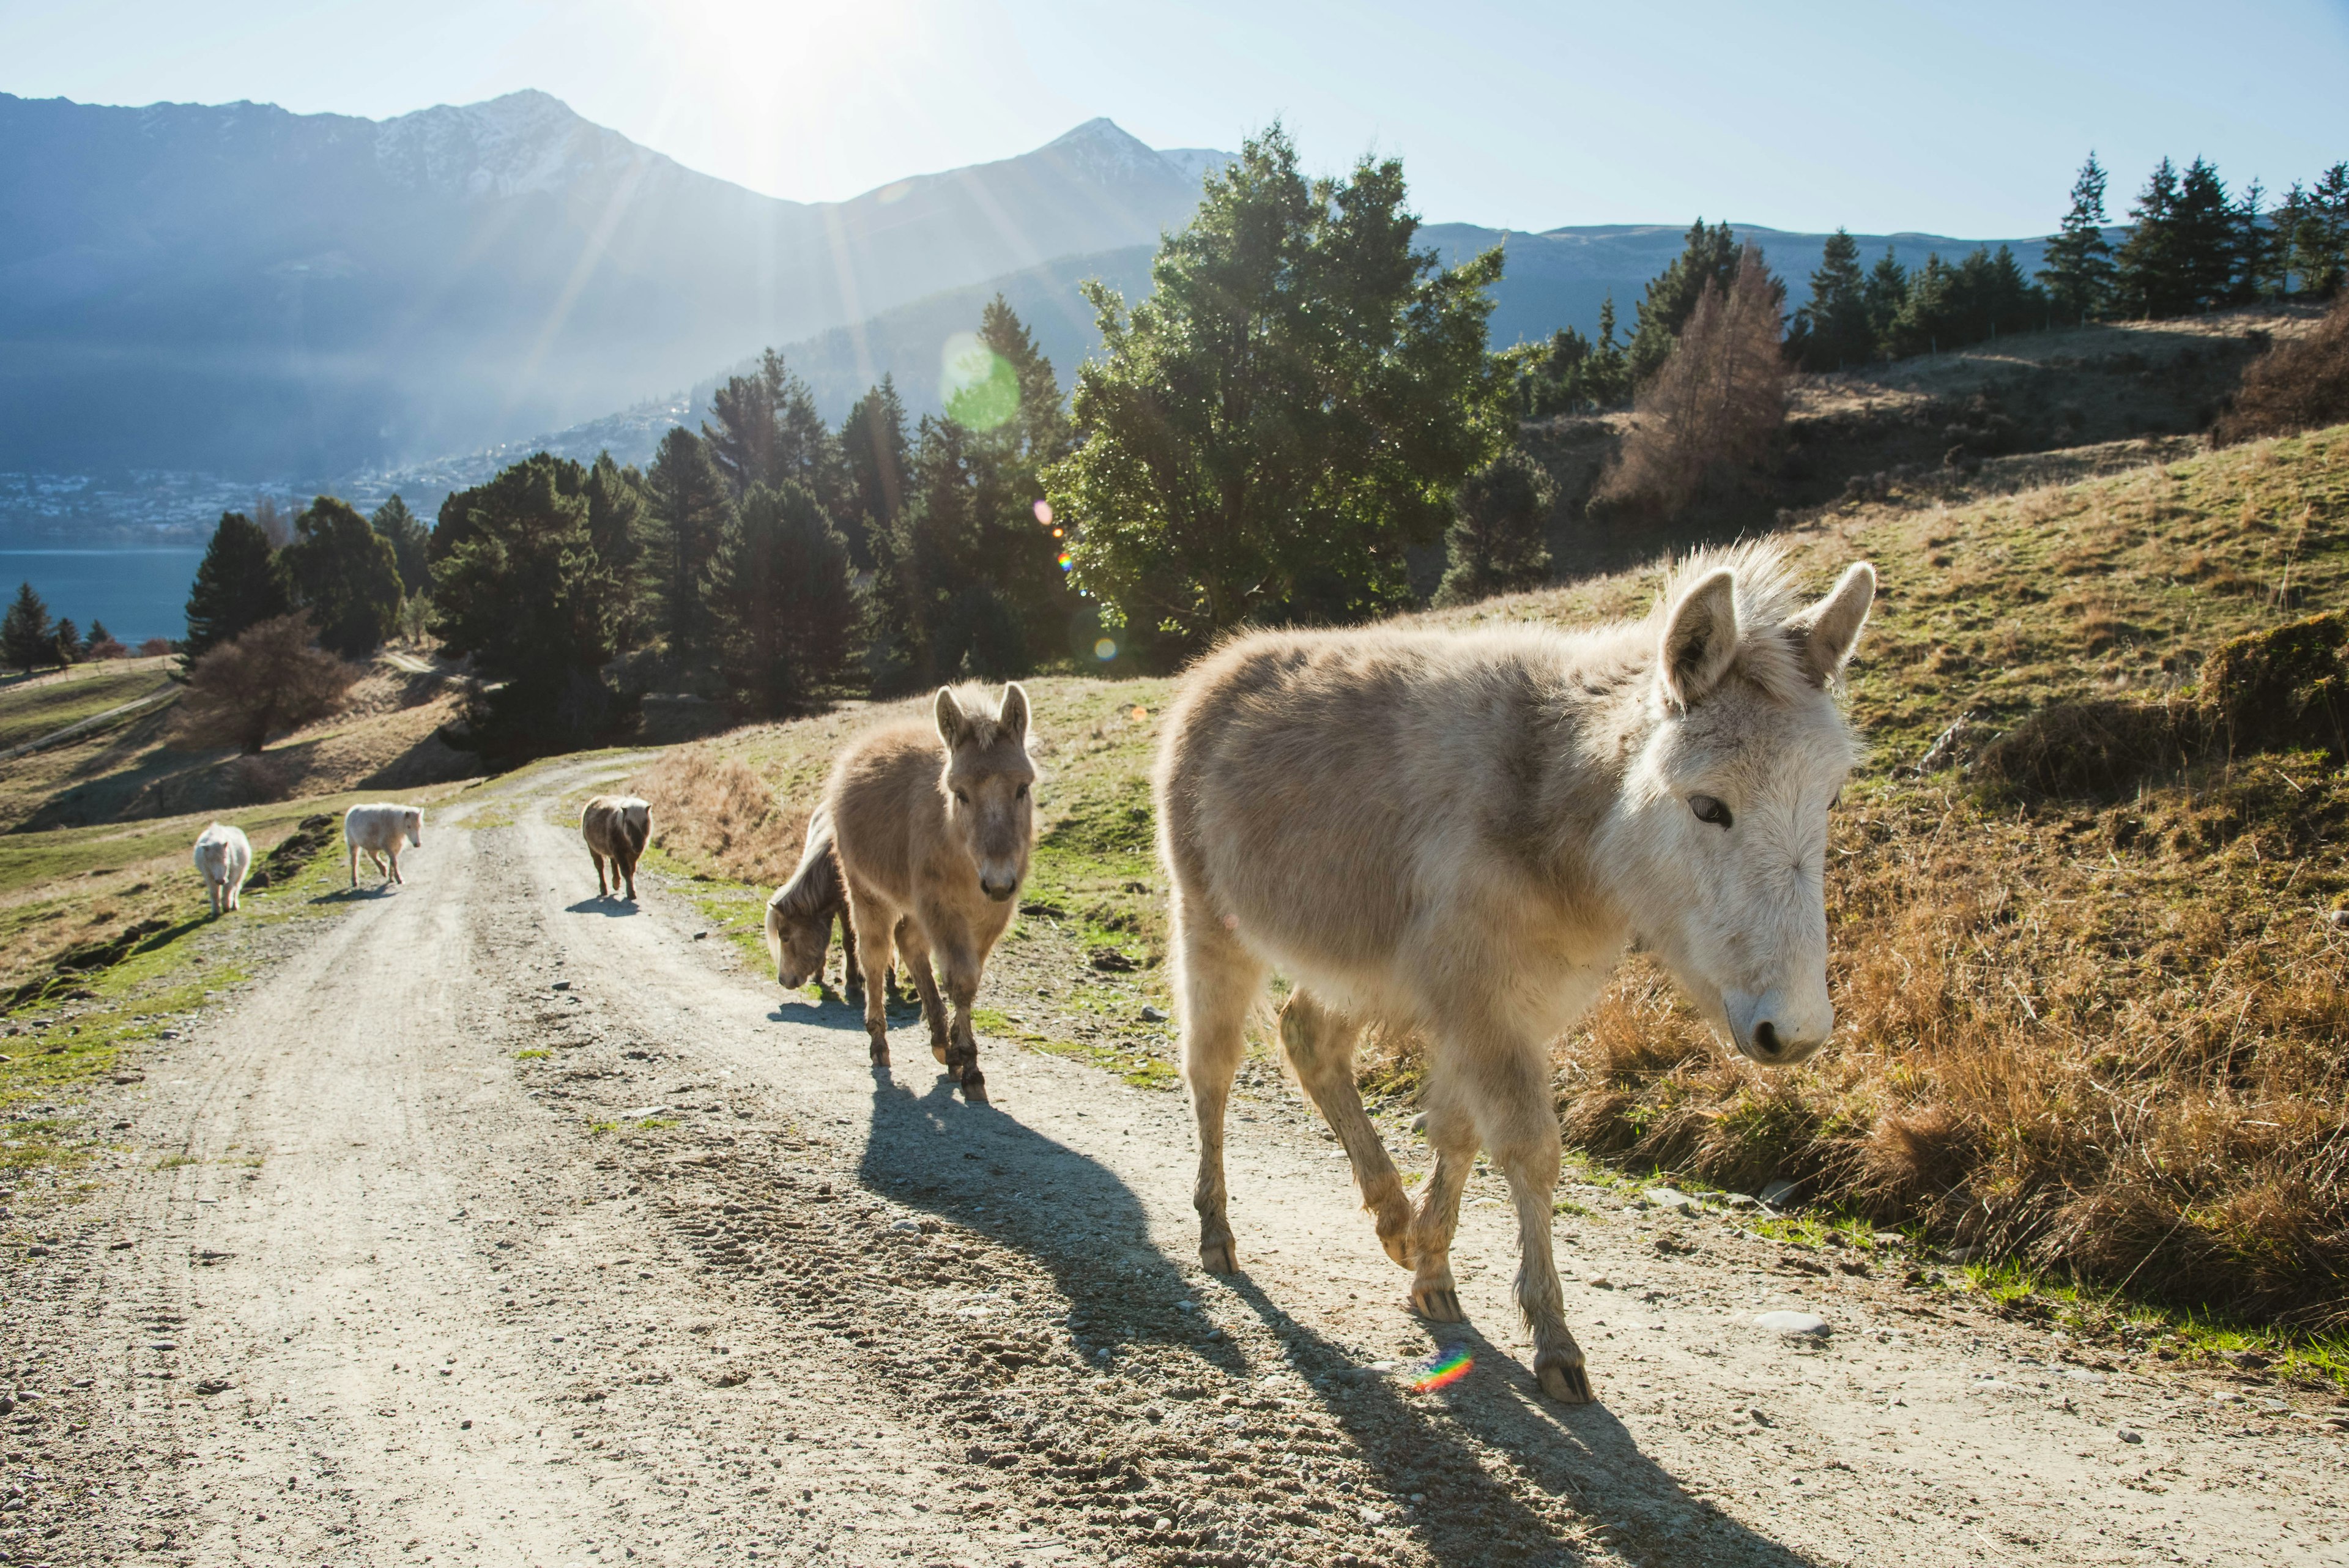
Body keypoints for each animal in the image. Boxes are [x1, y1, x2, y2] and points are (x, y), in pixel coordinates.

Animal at [1156, 545, 1869, 1401]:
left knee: (1310, 1038)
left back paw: (1389, 1215)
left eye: (1828, 797)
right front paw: (1554, 1339)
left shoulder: (1497, 1005)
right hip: (1212, 928)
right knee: (1212, 1070)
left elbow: (1461, 1133)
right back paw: (1217, 1232)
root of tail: (1220, 666)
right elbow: (1531, 1151)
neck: (1550, 794)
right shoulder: (1483, 1006)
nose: (1794, 1032)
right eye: (1708, 806)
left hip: (1358, 968)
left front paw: (1430, 1265)